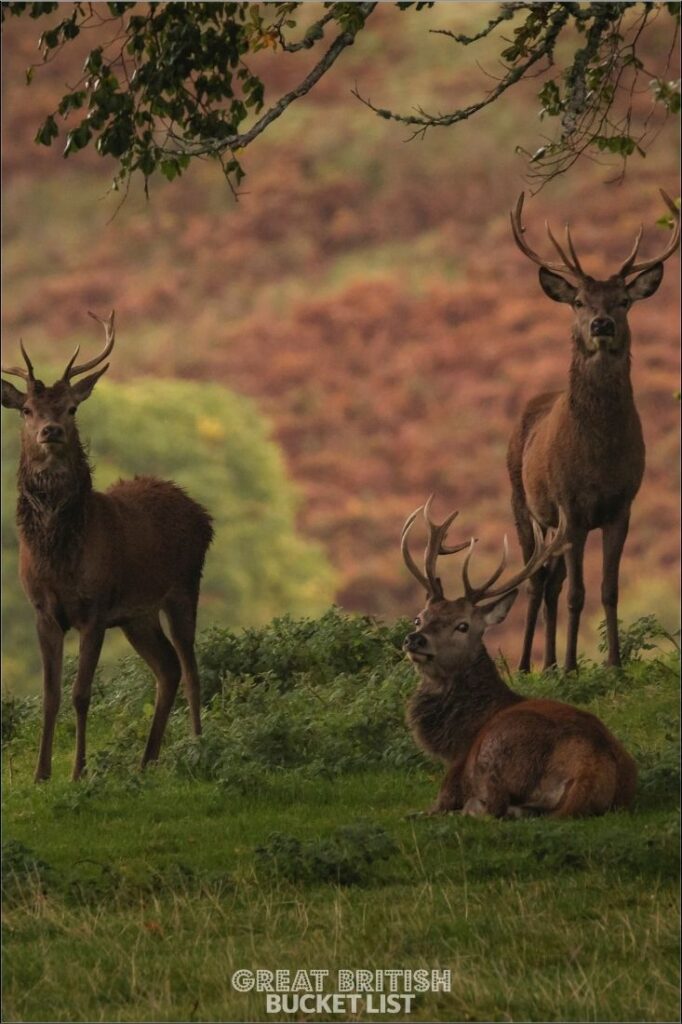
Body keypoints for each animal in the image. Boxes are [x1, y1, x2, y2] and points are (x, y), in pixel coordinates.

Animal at [0, 315, 212, 778]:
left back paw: (197, 746)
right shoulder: (43, 610)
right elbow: (50, 696)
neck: (59, 558)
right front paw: (41, 774)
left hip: (184, 586)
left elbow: (81, 694)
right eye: (27, 409)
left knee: (190, 668)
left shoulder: (94, 609)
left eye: (71, 408)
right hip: (138, 615)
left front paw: (79, 771)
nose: (50, 431)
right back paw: (147, 760)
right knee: (167, 667)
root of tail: (201, 511)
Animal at [401, 499, 634, 819]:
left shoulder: (451, 782)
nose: (416, 639)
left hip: (498, 750)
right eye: (419, 618)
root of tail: (591, 767)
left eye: (463, 625)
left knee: (495, 807)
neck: (457, 740)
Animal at [503, 190, 675, 671]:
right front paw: (573, 668)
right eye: (579, 301)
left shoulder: (621, 505)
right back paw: (528, 665)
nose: (602, 324)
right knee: (536, 580)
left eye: (623, 300)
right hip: (521, 500)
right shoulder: (571, 504)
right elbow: (578, 594)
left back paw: (547, 662)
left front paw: (613, 664)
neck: (598, 457)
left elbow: (608, 590)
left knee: (552, 581)